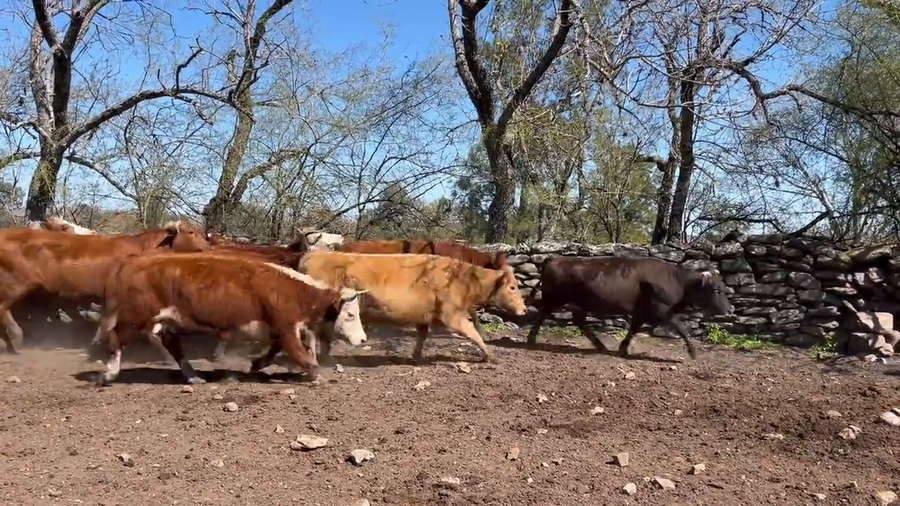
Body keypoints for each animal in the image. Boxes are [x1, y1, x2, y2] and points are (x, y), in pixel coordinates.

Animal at [93, 253, 369, 385]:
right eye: (350, 314)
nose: (363, 339)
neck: (293, 291)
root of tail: (133, 262)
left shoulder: (279, 330)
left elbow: (275, 351)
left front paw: (257, 364)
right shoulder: (285, 327)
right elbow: (300, 354)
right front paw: (318, 375)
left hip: (166, 320)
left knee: (172, 345)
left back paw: (193, 376)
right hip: (135, 316)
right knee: (116, 338)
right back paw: (108, 374)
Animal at [285, 250, 527, 365]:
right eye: (513, 287)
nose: (524, 310)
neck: (461, 279)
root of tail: (312, 254)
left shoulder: (425, 315)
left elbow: (422, 335)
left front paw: (416, 357)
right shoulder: (451, 315)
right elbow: (474, 333)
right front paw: (490, 356)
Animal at [525, 257, 734, 359]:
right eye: (716, 289)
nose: (729, 310)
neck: (678, 281)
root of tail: (554, 260)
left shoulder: (642, 312)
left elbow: (633, 329)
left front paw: (623, 348)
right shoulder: (661, 310)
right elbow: (682, 328)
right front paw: (693, 351)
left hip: (576, 303)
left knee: (579, 321)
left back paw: (600, 346)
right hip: (554, 298)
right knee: (542, 314)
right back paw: (531, 340)